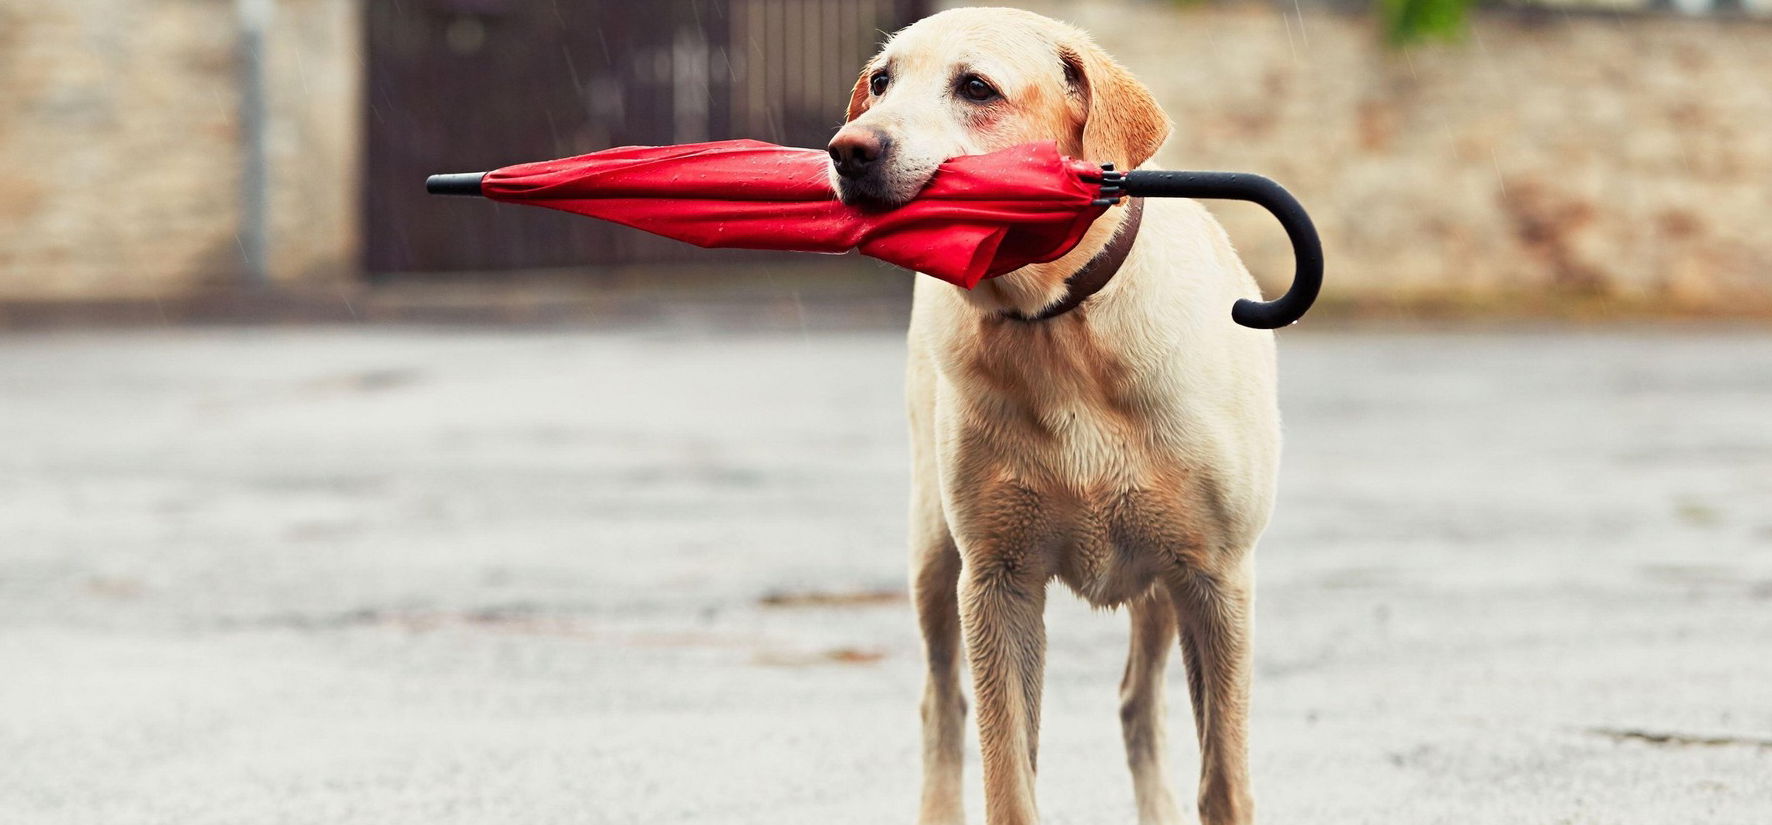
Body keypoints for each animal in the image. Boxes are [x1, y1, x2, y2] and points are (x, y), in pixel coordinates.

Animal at [825, 8, 1275, 825]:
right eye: (880, 82)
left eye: (976, 87)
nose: (848, 150)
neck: (1060, 326)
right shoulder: (997, 581)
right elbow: (1009, 776)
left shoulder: (1216, 577)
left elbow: (1223, 777)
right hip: (933, 549)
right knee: (941, 705)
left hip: (1162, 584)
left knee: (1138, 703)